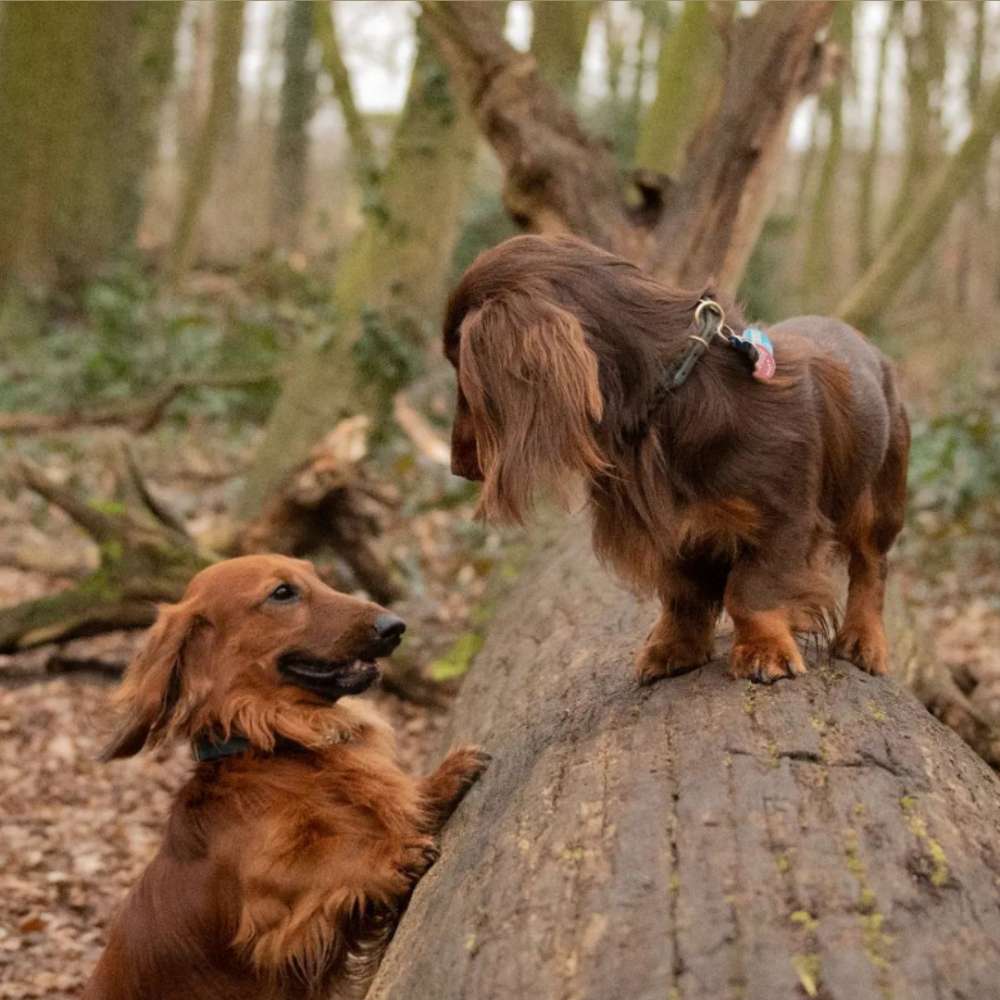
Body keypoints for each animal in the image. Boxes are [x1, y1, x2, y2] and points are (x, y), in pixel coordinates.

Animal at [84, 556, 490, 1000]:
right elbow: (321, 864)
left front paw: (443, 777)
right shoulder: (267, 903)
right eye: (282, 592)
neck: (279, 746)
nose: (395, 626)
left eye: (318, 577)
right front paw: (393, 855)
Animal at [442, 236, 912, 688]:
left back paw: (864, 641)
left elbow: (751, 591)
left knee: (871, 566)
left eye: (464, 371)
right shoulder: (676, 531)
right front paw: (675, 648)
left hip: (878, 497)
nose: (457, 467)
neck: (671, 396)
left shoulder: (785, 517)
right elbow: (684, 596)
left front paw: (764, 650)